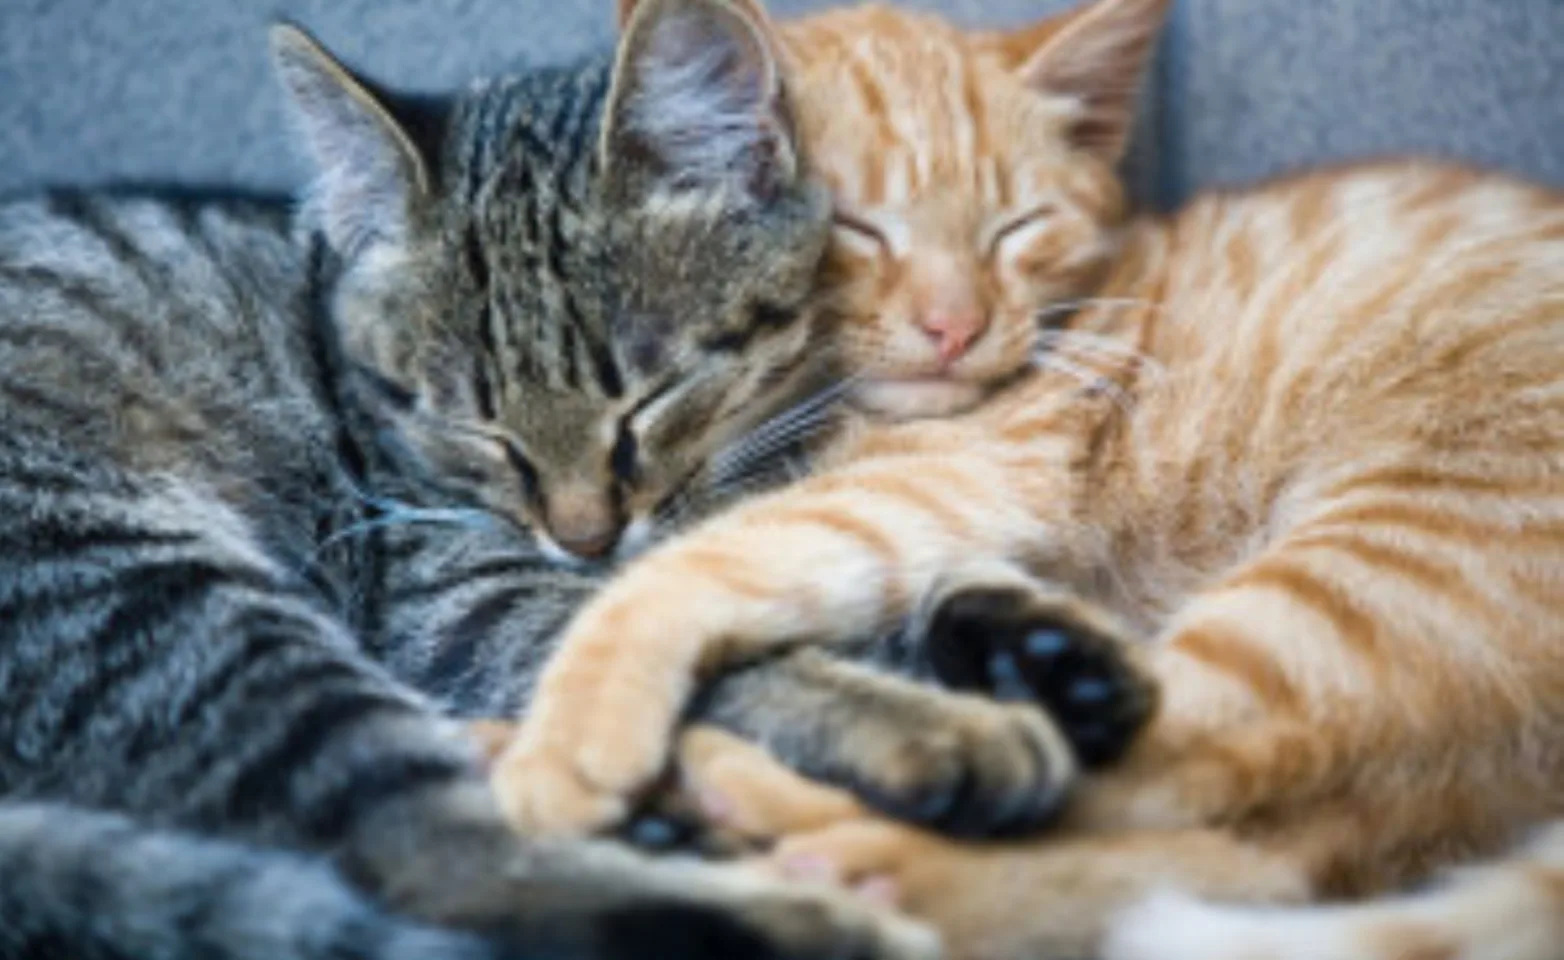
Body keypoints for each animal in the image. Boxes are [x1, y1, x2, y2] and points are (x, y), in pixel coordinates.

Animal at [0, 0, 950, 956]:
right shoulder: (457, 595)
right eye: (480, 430)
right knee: (440, 850)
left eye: (651, 398)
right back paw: (824, 913)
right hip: (152, 595)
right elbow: (670, 634)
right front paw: (923, 722)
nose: (584, 537)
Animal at [494, 0, 1564, 956]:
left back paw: (788, 815)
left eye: (1015, 229)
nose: (955, 327)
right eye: (859, 229)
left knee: (1162, 774)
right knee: (1275, 848)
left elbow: (699, 561)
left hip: (1359, 578)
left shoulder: (956, 472)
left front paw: (574, 719)